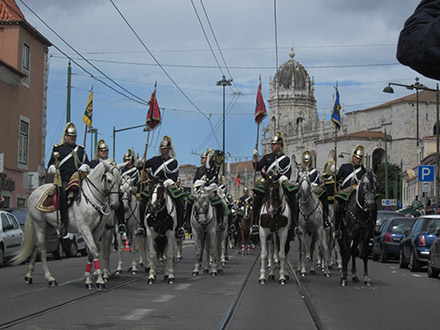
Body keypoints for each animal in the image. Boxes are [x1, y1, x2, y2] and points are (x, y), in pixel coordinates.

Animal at [12, 160, 122, 288]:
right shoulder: (85, 229)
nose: (115, 205)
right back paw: (50, 279)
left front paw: (88, 278)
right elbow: (94, 251)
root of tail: (34, 193)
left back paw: (29, 276)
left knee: (36, 247)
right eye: (109, 180)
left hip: (50, 228)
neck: (92, 198)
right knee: (42, 250)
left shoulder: (97, 230)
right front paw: (99, 280)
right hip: (40, 225)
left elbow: (91, 252)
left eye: (120, 181)